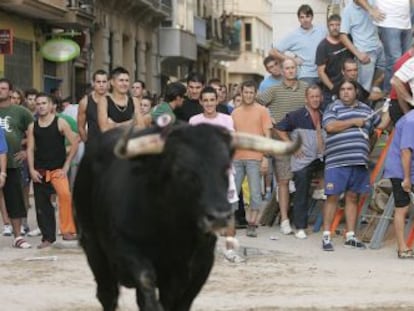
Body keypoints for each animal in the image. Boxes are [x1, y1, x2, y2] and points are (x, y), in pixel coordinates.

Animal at [73, 123, 300, 311]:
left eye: (226, 167)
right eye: (181, 170)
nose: (219, 216)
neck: (174, 230)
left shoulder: (200, 265)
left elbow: (180, 301)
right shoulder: (128, 249)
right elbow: (146, 284)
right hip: (93, 248)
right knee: (107, 294)